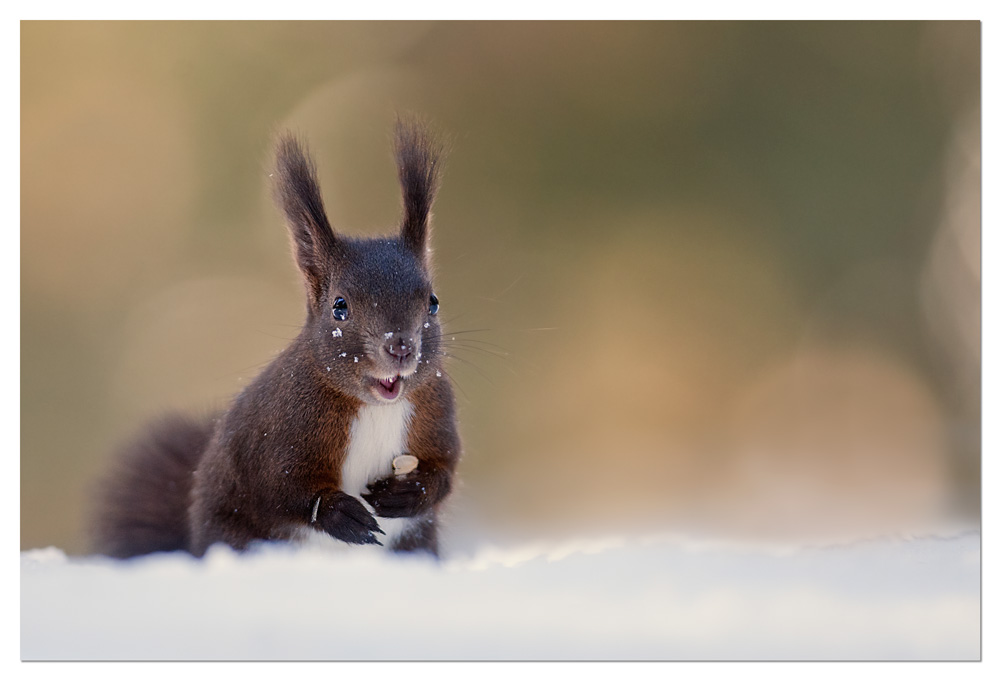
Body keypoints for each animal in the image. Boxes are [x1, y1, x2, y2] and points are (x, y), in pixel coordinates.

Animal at [91, 119, 461, 559]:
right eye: (340, 307)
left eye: (433, 302)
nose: (400, 346)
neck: (375, 407)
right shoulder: (279, 433)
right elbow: (281, 489)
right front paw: (340, 514)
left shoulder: (436, 412)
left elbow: (445, 470)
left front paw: (409, 492)